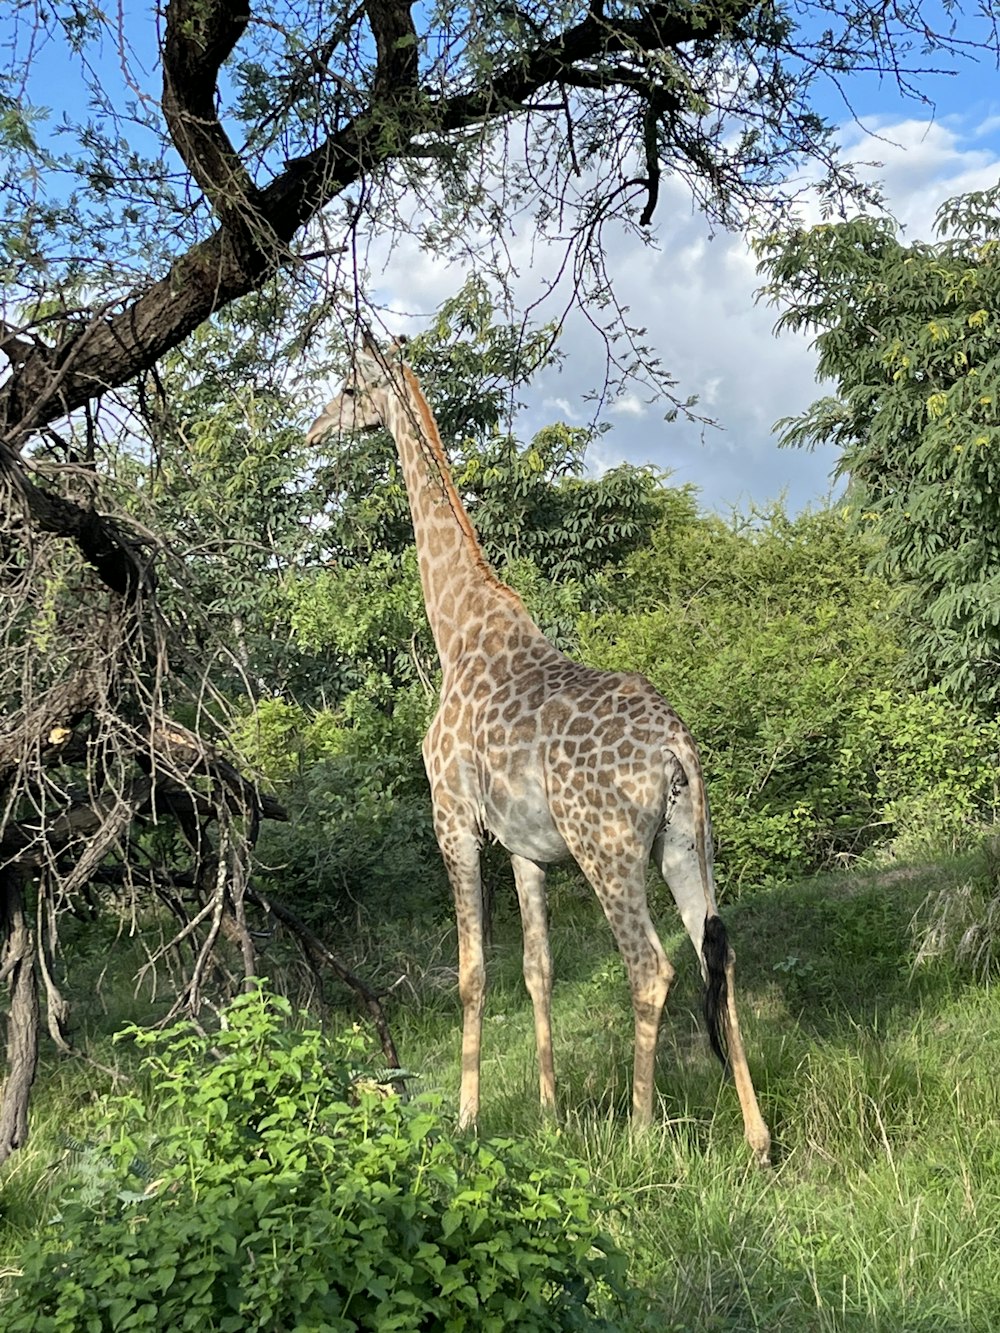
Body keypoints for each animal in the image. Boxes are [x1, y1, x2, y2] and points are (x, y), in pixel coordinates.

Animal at [309, 338, 773, 1162]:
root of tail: (677, 750)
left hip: (609, 849)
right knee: (717, 953)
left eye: (348, 384)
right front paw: (551, 1115)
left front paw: (466, 1120)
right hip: (687, 845)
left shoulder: (453, 818)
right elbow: (538, 969)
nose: (312, 429)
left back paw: (640, 1135)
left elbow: (472, 973)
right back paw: (756, 1137)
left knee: (650, 967)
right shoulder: (526, 848)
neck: (455, 627)